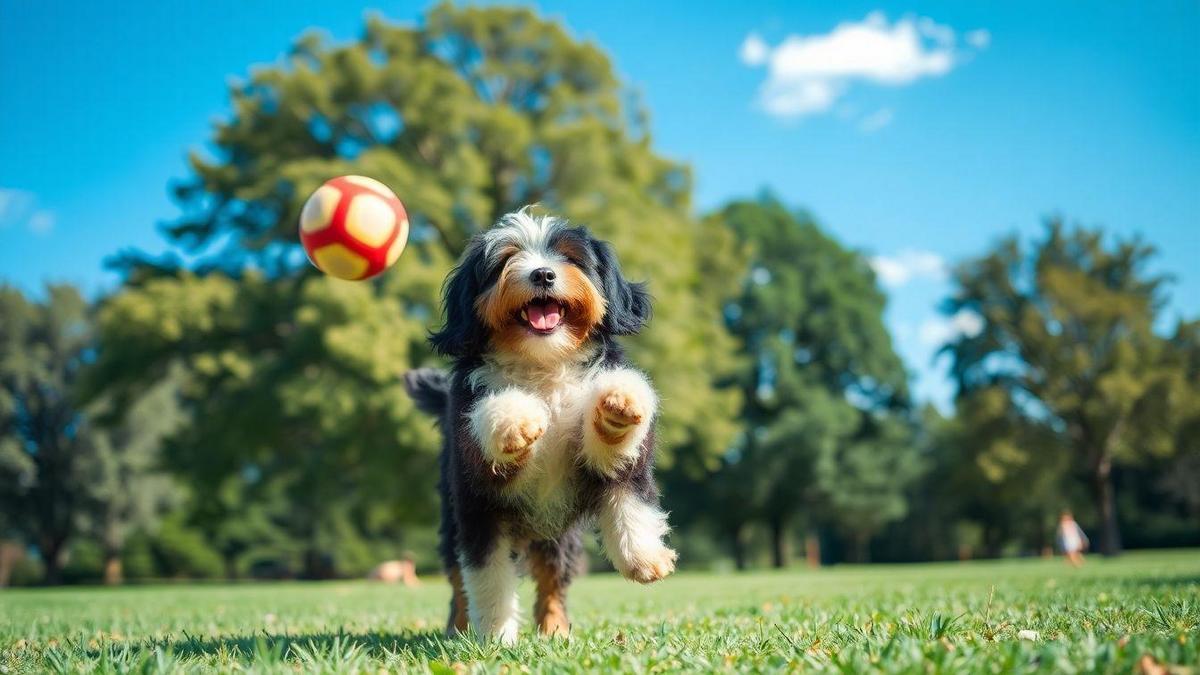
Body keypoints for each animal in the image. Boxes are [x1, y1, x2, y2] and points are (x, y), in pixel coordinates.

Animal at [405, 207, 676, 638]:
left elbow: (629, 496)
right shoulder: (480, 498)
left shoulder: (615, 468)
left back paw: (555, 629)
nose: (543, 274)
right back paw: (459, 628)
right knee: (459, 580)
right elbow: (488, 579)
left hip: (560, 538)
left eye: (569, 257)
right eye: (505, 259)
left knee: (552, 583)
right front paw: (496, 636)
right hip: (452, 522)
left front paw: (616, 408)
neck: (544, 364)